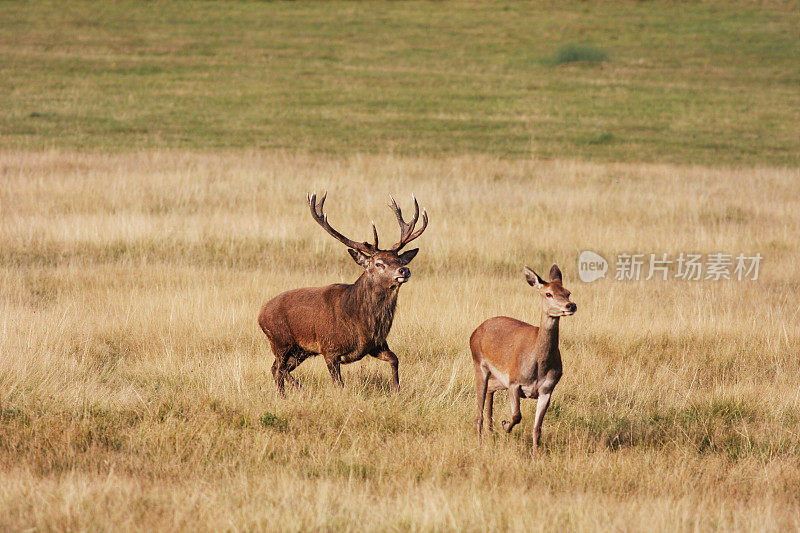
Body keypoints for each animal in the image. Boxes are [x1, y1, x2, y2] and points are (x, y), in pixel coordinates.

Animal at [260, 191, 428, 394]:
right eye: (378, 263)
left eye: (399, 259)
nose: (404, 270)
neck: (360, 323)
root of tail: (260, 314)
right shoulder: (329, 348)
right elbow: (339, 384)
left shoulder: (377, 344)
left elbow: (395, 359)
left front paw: (397, 390)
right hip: (279, 340)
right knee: (279, 368)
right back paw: (296, 392)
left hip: (301, 350)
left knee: (276, 369)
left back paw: (288, 394)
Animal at [468, 264, 576, 454]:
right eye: (548, 293)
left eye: (567, 292)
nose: (571, 305)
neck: (538, 366)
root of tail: (474, 332)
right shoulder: (514, 381)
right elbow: (517, 415)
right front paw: (505, 425)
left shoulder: (547, 389)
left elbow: (537, 428)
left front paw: (535, 453)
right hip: (479, 363)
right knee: (479, 409)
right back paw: (481, 441)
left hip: (499, 378)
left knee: (490, 390)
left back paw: (491, 431)